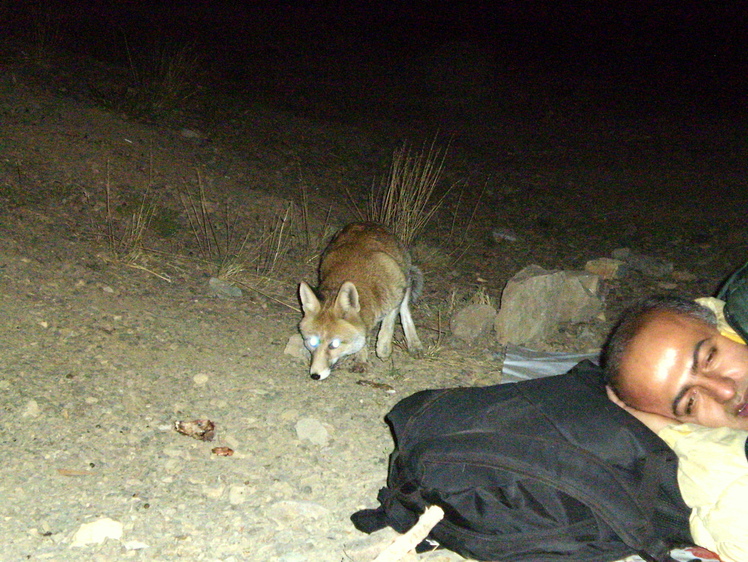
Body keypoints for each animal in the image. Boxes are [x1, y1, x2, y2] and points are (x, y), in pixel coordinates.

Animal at [300, 221, 426, 378]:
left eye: (334, 344)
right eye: (313, 342)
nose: (315, 375)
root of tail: (368, 223)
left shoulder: (395, 295)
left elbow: (387, 328)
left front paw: (383, 350)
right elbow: (363, 338)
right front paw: (361, 360)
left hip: (405, 279)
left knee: (405, 312)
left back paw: (414, 344)